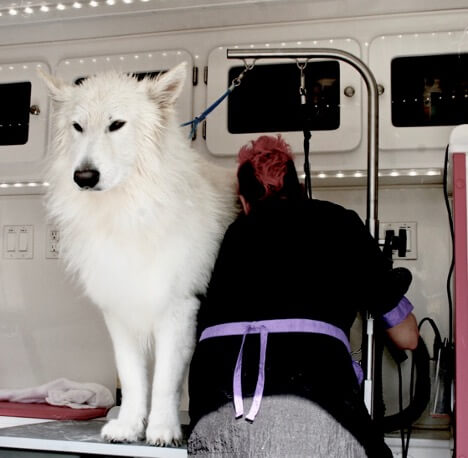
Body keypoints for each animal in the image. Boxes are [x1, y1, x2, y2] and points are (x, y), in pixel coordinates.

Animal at [39, 62, 236, 446]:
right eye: (77, 127)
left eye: (116, 125)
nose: (84, 177)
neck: (130, 209)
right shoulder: (120, 312)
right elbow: (132, 378)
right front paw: (129, 426)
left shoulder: (178, 312)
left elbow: (164, 383)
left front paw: (162, 429)